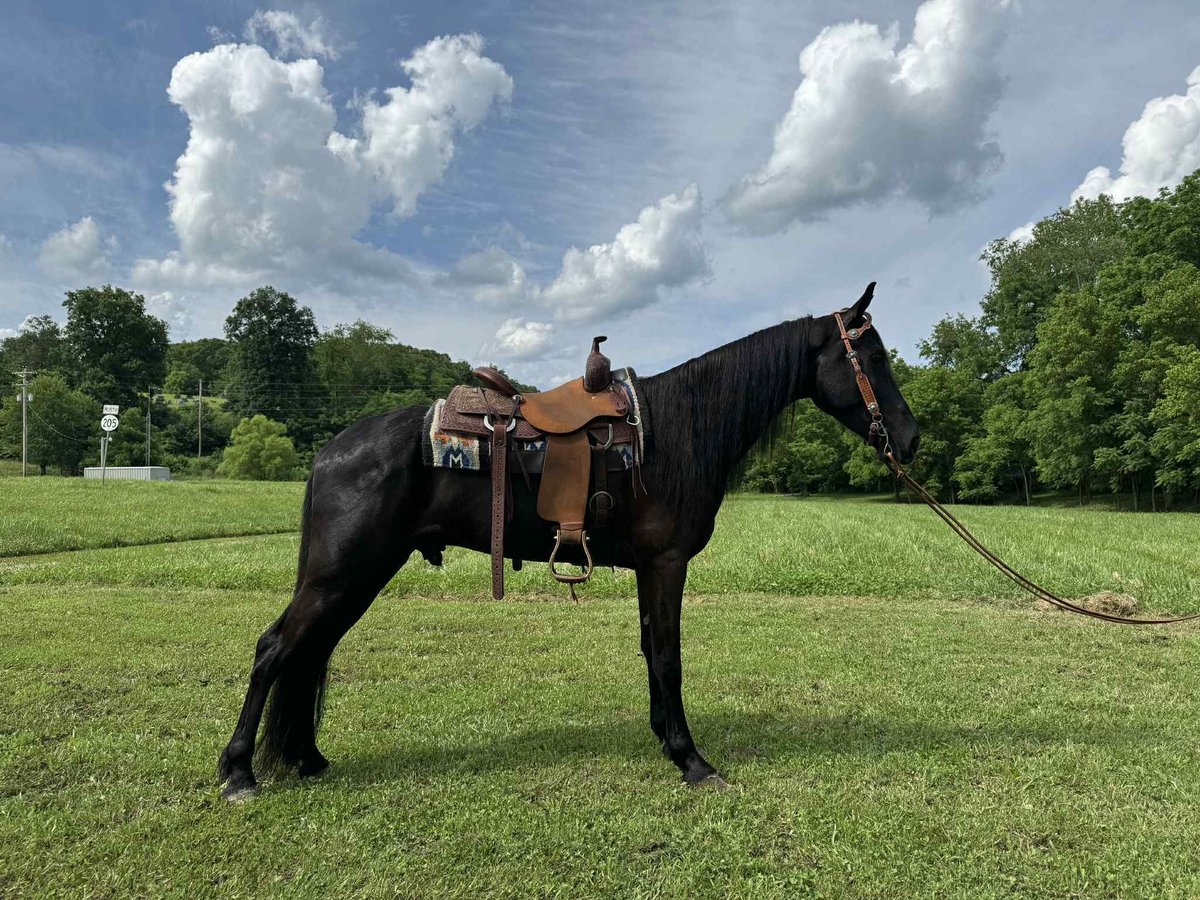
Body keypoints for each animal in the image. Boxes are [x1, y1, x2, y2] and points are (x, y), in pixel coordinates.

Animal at [217, 283, 920, 799]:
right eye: (874, 359)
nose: (910, 440)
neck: (677, 431)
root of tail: (332, 449)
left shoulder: (648, 569)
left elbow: (650, 651)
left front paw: (665, 739)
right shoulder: (665, 564)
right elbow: (668, 656)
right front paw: (692, 760)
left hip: (359, 575)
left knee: (311, 652)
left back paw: (306, 758)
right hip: (339, 574)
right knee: (275, 648)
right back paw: (238, 773)